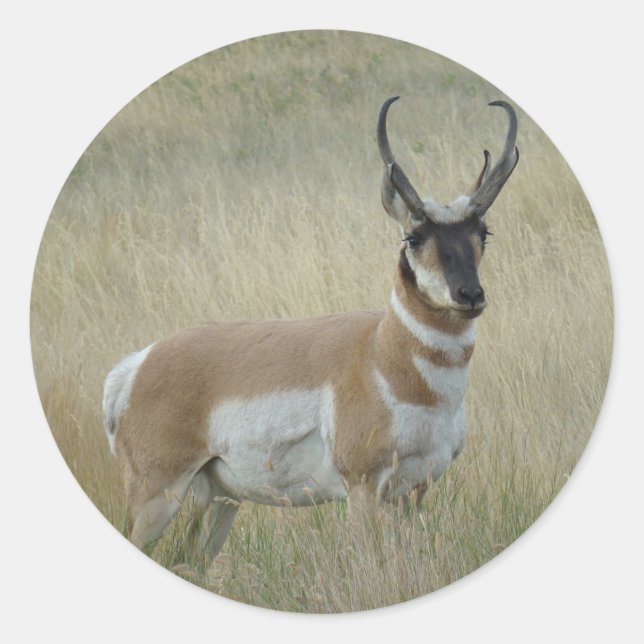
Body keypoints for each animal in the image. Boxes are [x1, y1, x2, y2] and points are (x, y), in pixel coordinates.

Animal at [103, 97, 518, 567]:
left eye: (483, 232)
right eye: (413, 237)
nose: (470, 294)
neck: (382, 353)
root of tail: (137, 365)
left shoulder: (414, 491)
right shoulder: (363, 488)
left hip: (220, 499)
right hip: (157, 495)